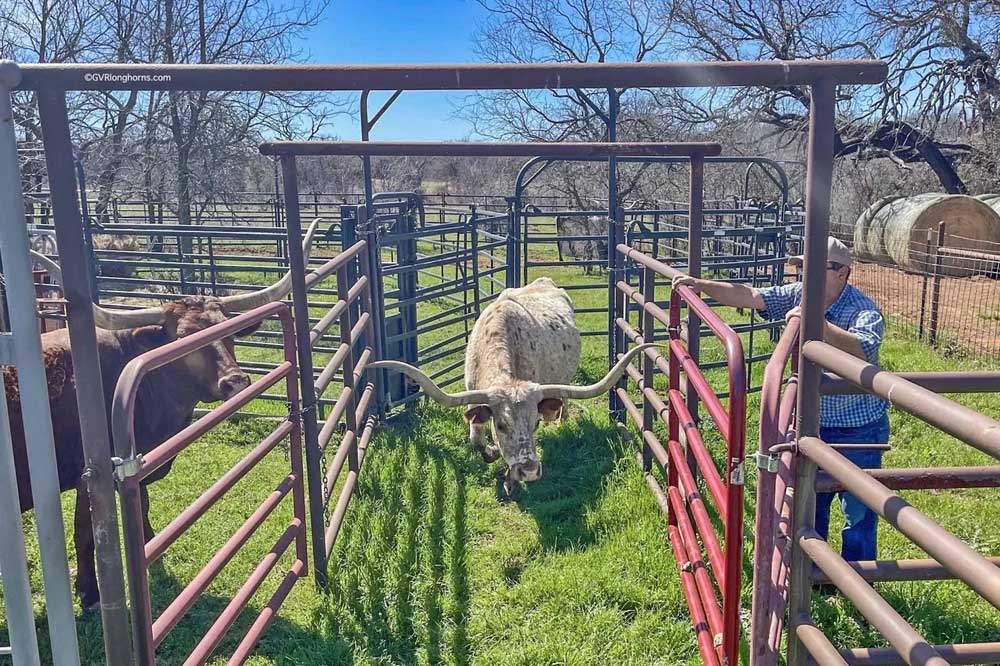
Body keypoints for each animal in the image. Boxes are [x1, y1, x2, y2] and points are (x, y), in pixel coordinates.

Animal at [6, 219, 320, 608]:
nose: (236, 380)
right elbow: (86, 533)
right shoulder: (87, 478)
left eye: (230, 333)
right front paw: (89, 591)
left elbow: (142, 504)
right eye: (182, 338)